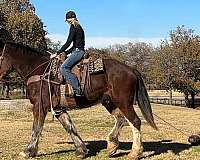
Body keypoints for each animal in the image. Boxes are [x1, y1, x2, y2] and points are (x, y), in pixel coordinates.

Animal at [0, 40, 157, 159]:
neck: (40, 72)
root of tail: (131, 69)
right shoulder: (58, 109)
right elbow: (69, 127)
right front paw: (81, 150)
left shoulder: (39, 106)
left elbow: (36, 128)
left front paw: (28, 151)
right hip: (109, 101)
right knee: (121, 119)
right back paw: (112, 145)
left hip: (123, 102)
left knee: (134, 121)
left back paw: (135, 152)